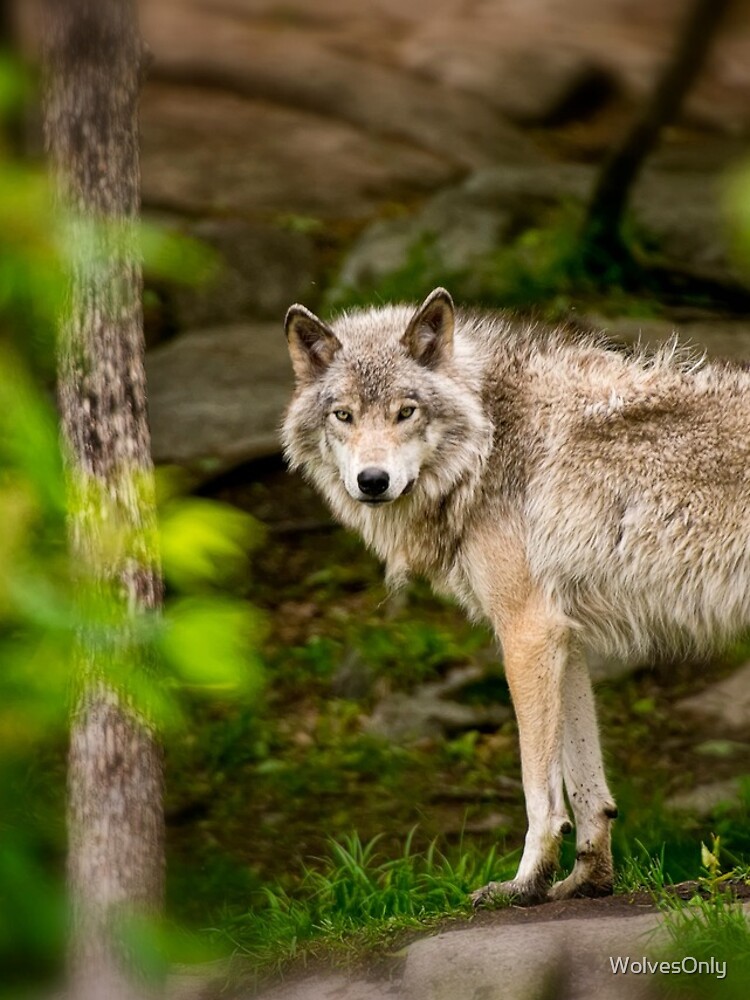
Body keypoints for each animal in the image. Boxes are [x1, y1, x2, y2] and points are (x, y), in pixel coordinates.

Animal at [281, 287, 750, 905]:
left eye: (406, 411)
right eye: (344, 415)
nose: (373, 481)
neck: (487, 443)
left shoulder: (527, 631)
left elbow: (539, 788)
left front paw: (525, 882)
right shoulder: (564, 636)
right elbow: (587, 786)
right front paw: (586, 881)